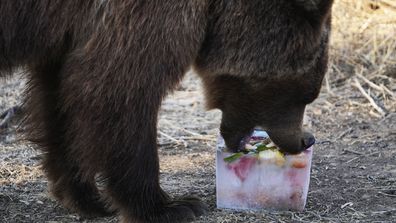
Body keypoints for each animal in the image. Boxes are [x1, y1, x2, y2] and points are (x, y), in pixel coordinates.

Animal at [0, 0, 334, 223]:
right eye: (306, 92)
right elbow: (122, 93)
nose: (306, 139)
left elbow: (57, 101)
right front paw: (170, 206)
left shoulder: (65, 35)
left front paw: (87, 198)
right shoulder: (138, 20)